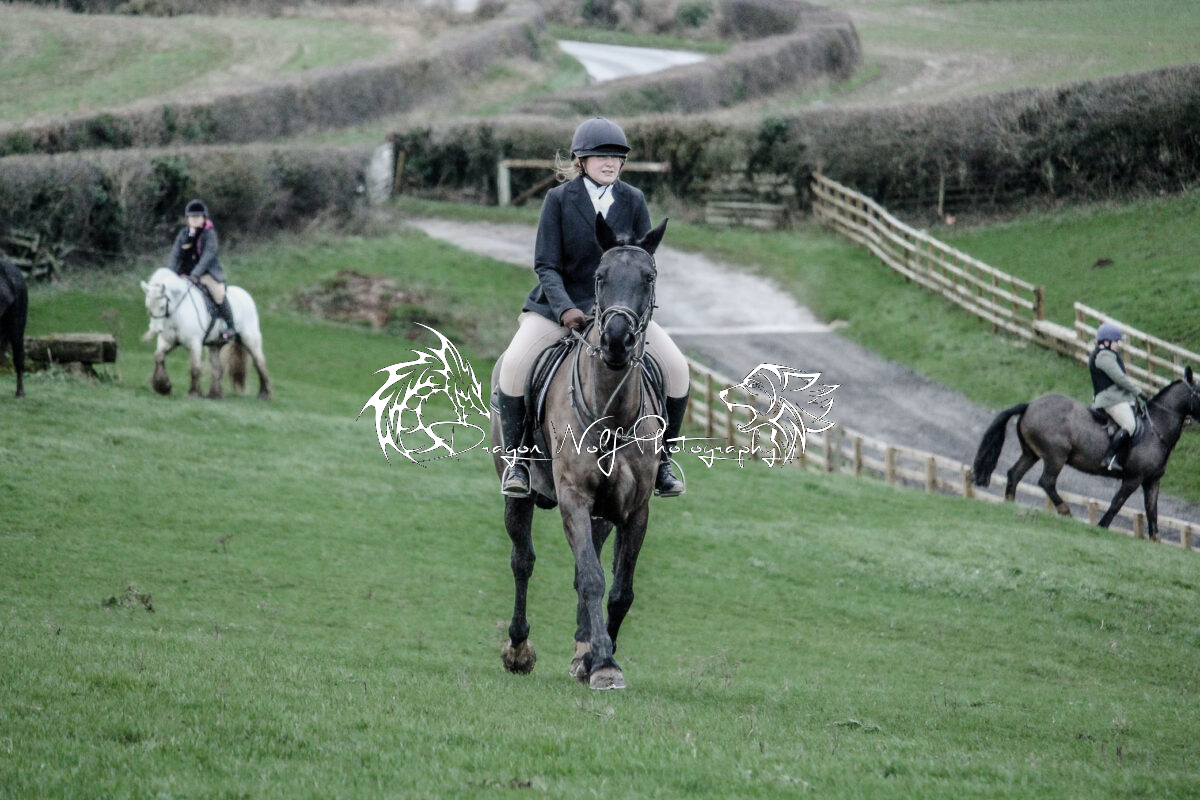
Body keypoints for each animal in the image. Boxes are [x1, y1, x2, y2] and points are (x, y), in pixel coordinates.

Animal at [140, 267, 272, 399]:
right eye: (147, 306)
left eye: (162, 306)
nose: (156, 329)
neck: (177, 313)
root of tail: (245, 294)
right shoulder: (167, 341)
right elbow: (158, 357)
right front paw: (163, 387)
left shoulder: (194, 343)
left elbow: (195, 368)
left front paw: (193, 393)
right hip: (215, 345)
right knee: (217, 368)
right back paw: (214, 394)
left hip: (250, 340)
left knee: (259, 363)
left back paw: (265, 394)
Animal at [491, 214, 668, 691]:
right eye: (600, 276)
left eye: (648, 278)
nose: (617, 341)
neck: (611, 412)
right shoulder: (573, 497)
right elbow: (591, 578)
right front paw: (604, 664)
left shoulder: (634, 509)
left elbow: (619, 589)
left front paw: (596, 657)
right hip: (518, 493)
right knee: (522, 561)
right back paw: (518, 649)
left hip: (602, 514)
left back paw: (581, 651)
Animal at [972, 367, 1200, 541]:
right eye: (1199, 392)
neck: (1156, 429)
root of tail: (1030, 405)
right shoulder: (1133, 479)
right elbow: (1117, 503)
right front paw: (1101, 526)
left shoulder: (1152, 481)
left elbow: (1152, 512)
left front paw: (1155, 541)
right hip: (1055, 457)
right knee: (1046, 481)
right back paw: (1065, 511)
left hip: (1031, 454)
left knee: (1014, 475)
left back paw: (1010, 504)